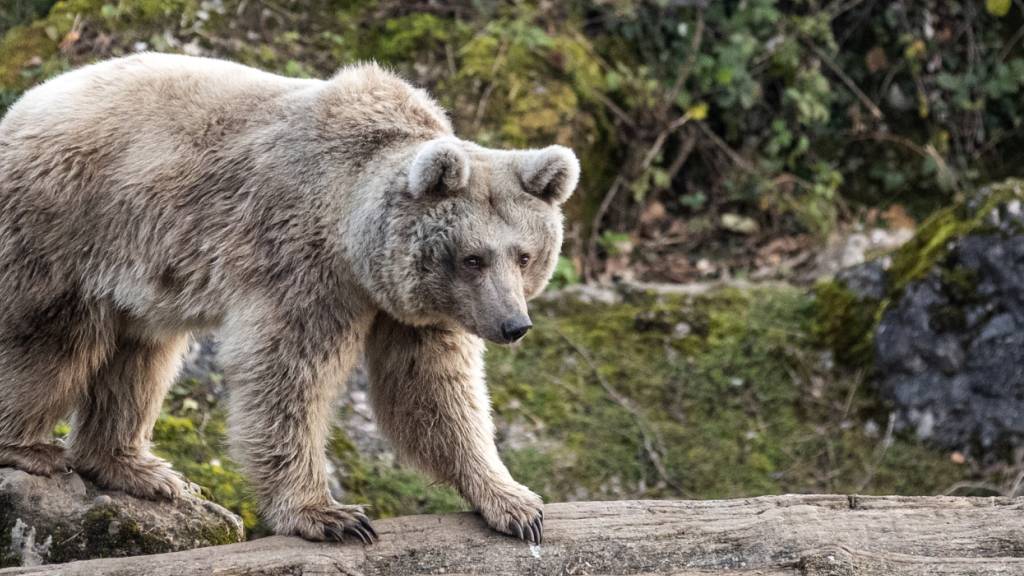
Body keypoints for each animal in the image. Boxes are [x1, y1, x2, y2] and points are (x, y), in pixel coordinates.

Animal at [0, 53, 579, 544]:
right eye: (473, 258)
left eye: (524, 255)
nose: (513, 325)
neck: (352, 233)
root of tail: (24, 103)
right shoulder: (299, 261)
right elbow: (287, 373)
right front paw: (330, 515)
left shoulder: (414, 307)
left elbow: (432, 390)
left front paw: (515, 504)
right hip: (68, 225)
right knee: (52, 341)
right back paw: (31, 448)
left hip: (141, 279)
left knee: (141, 357)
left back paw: (140, 469)